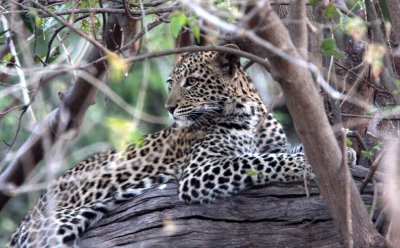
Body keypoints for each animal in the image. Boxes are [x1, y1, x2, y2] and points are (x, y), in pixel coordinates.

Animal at [7, 43, 356, 247]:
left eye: (191, 81)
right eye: (170, 83)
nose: (169, 108)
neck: (249, 114)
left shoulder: (269, 146)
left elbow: (283, 151)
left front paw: (344, 151)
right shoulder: (198, 172)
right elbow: (257, 161)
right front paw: (306, 165)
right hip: (53, 227)